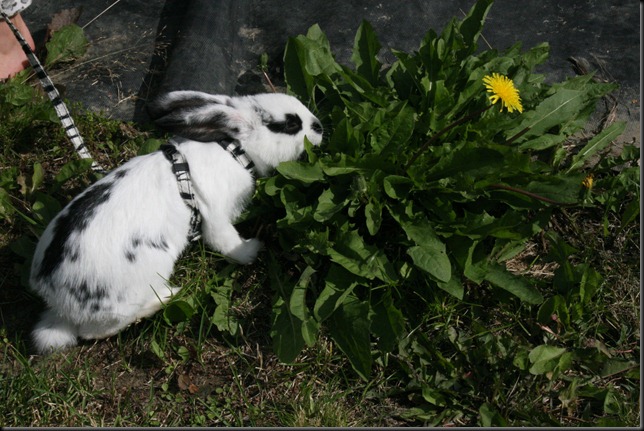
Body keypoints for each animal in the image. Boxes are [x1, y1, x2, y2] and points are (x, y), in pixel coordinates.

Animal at [29, 91, 323, 355]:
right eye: (290, 124)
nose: (319, 127)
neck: (234, 150)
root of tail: (59, 303)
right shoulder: (215, 215)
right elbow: (226, 242)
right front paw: (252, 250)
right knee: (95, 332)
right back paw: (167, 296)